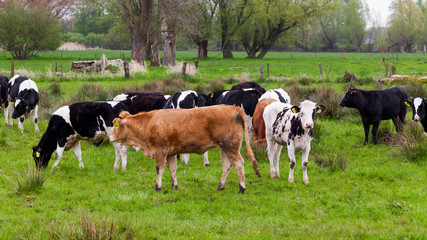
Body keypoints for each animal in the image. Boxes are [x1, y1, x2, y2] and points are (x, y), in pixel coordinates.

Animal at [108, 105, 260, 193]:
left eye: (116, 126)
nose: (110, 137)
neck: (148, 123)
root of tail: (233, 108)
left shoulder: (159, 151)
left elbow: (159, 169)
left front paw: (157, 186)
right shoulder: (170, 153)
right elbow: (172, 169)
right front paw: (174, 185)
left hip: (231, 147)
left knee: (239, 163)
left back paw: (242, 187)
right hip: (225, 148)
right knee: (227, 166)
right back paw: (220, 186)